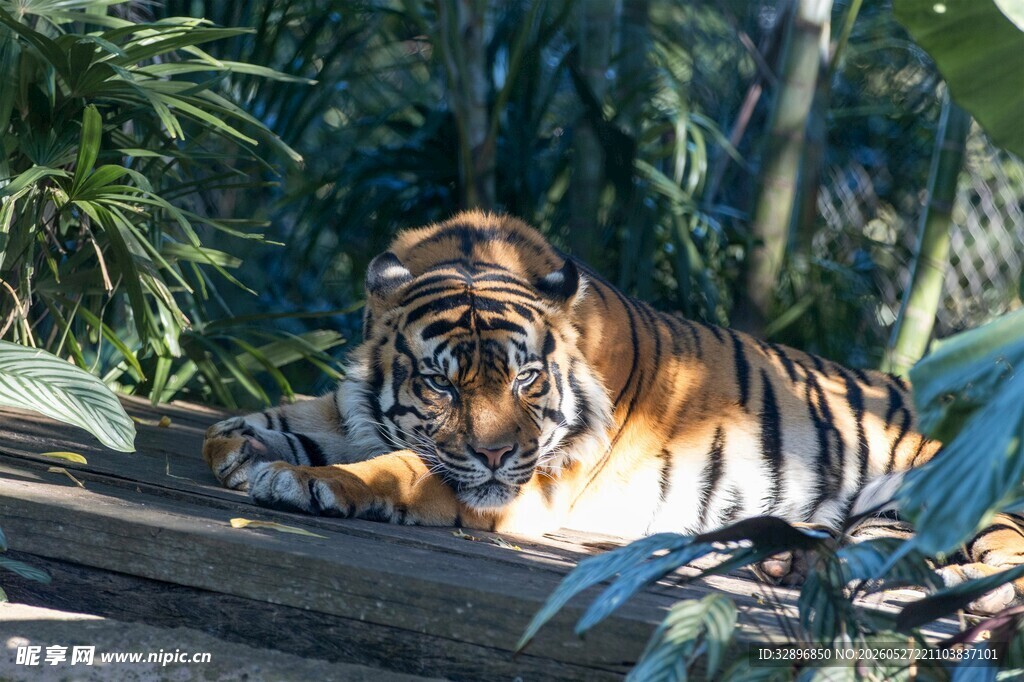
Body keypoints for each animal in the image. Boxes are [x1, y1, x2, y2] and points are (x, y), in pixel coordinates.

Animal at [203, 211, 1024, 615]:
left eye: (526, 379)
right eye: (441, 385)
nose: (496, 455)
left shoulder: (528, 485)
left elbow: (399, 468)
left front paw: (307, 481)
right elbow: (268, 423)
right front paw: (245, 447)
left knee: (997, 563)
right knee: (884, 553)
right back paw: (793, 559)